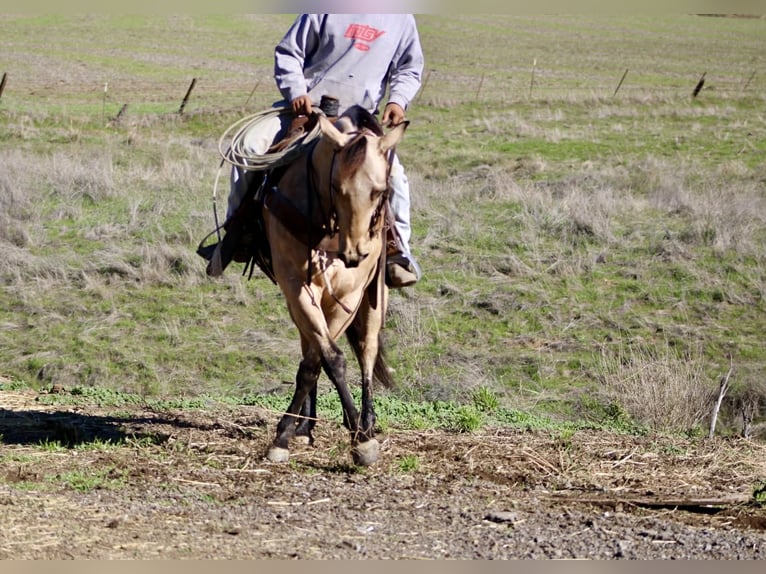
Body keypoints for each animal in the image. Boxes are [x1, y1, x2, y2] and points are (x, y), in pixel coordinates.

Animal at [262, 106, 408, 466]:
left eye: (380, 191)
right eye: (336, 187)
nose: (356, 252)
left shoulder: (351, 296)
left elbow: (322, 360)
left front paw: (362, 437)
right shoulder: (297, 289)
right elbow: (326, 359)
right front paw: (287, 434)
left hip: (374, 300)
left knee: (367, 351)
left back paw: (367, 420)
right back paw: (307, 426)